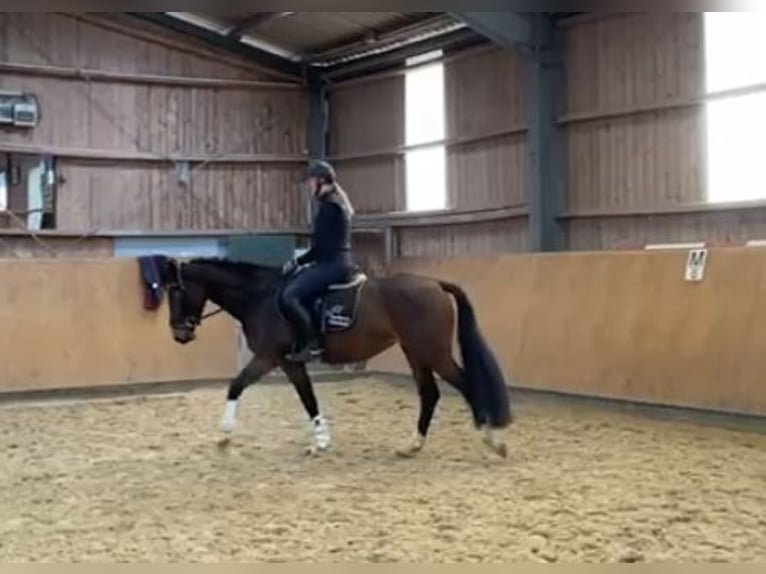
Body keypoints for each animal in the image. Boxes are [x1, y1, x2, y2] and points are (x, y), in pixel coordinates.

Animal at [148, 256, 516, 460]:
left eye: (176, 290)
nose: (180, 334)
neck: (262, 297)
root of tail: (436, 284)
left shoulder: (269, 356)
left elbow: (236, 385)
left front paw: (224, 437)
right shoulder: (290, 362)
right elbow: (308, 398)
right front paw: (321, 441)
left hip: (433, 351)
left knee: (466, 385)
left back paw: (494, 440)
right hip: (414, 350)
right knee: (430, 393)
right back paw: (412, 445)